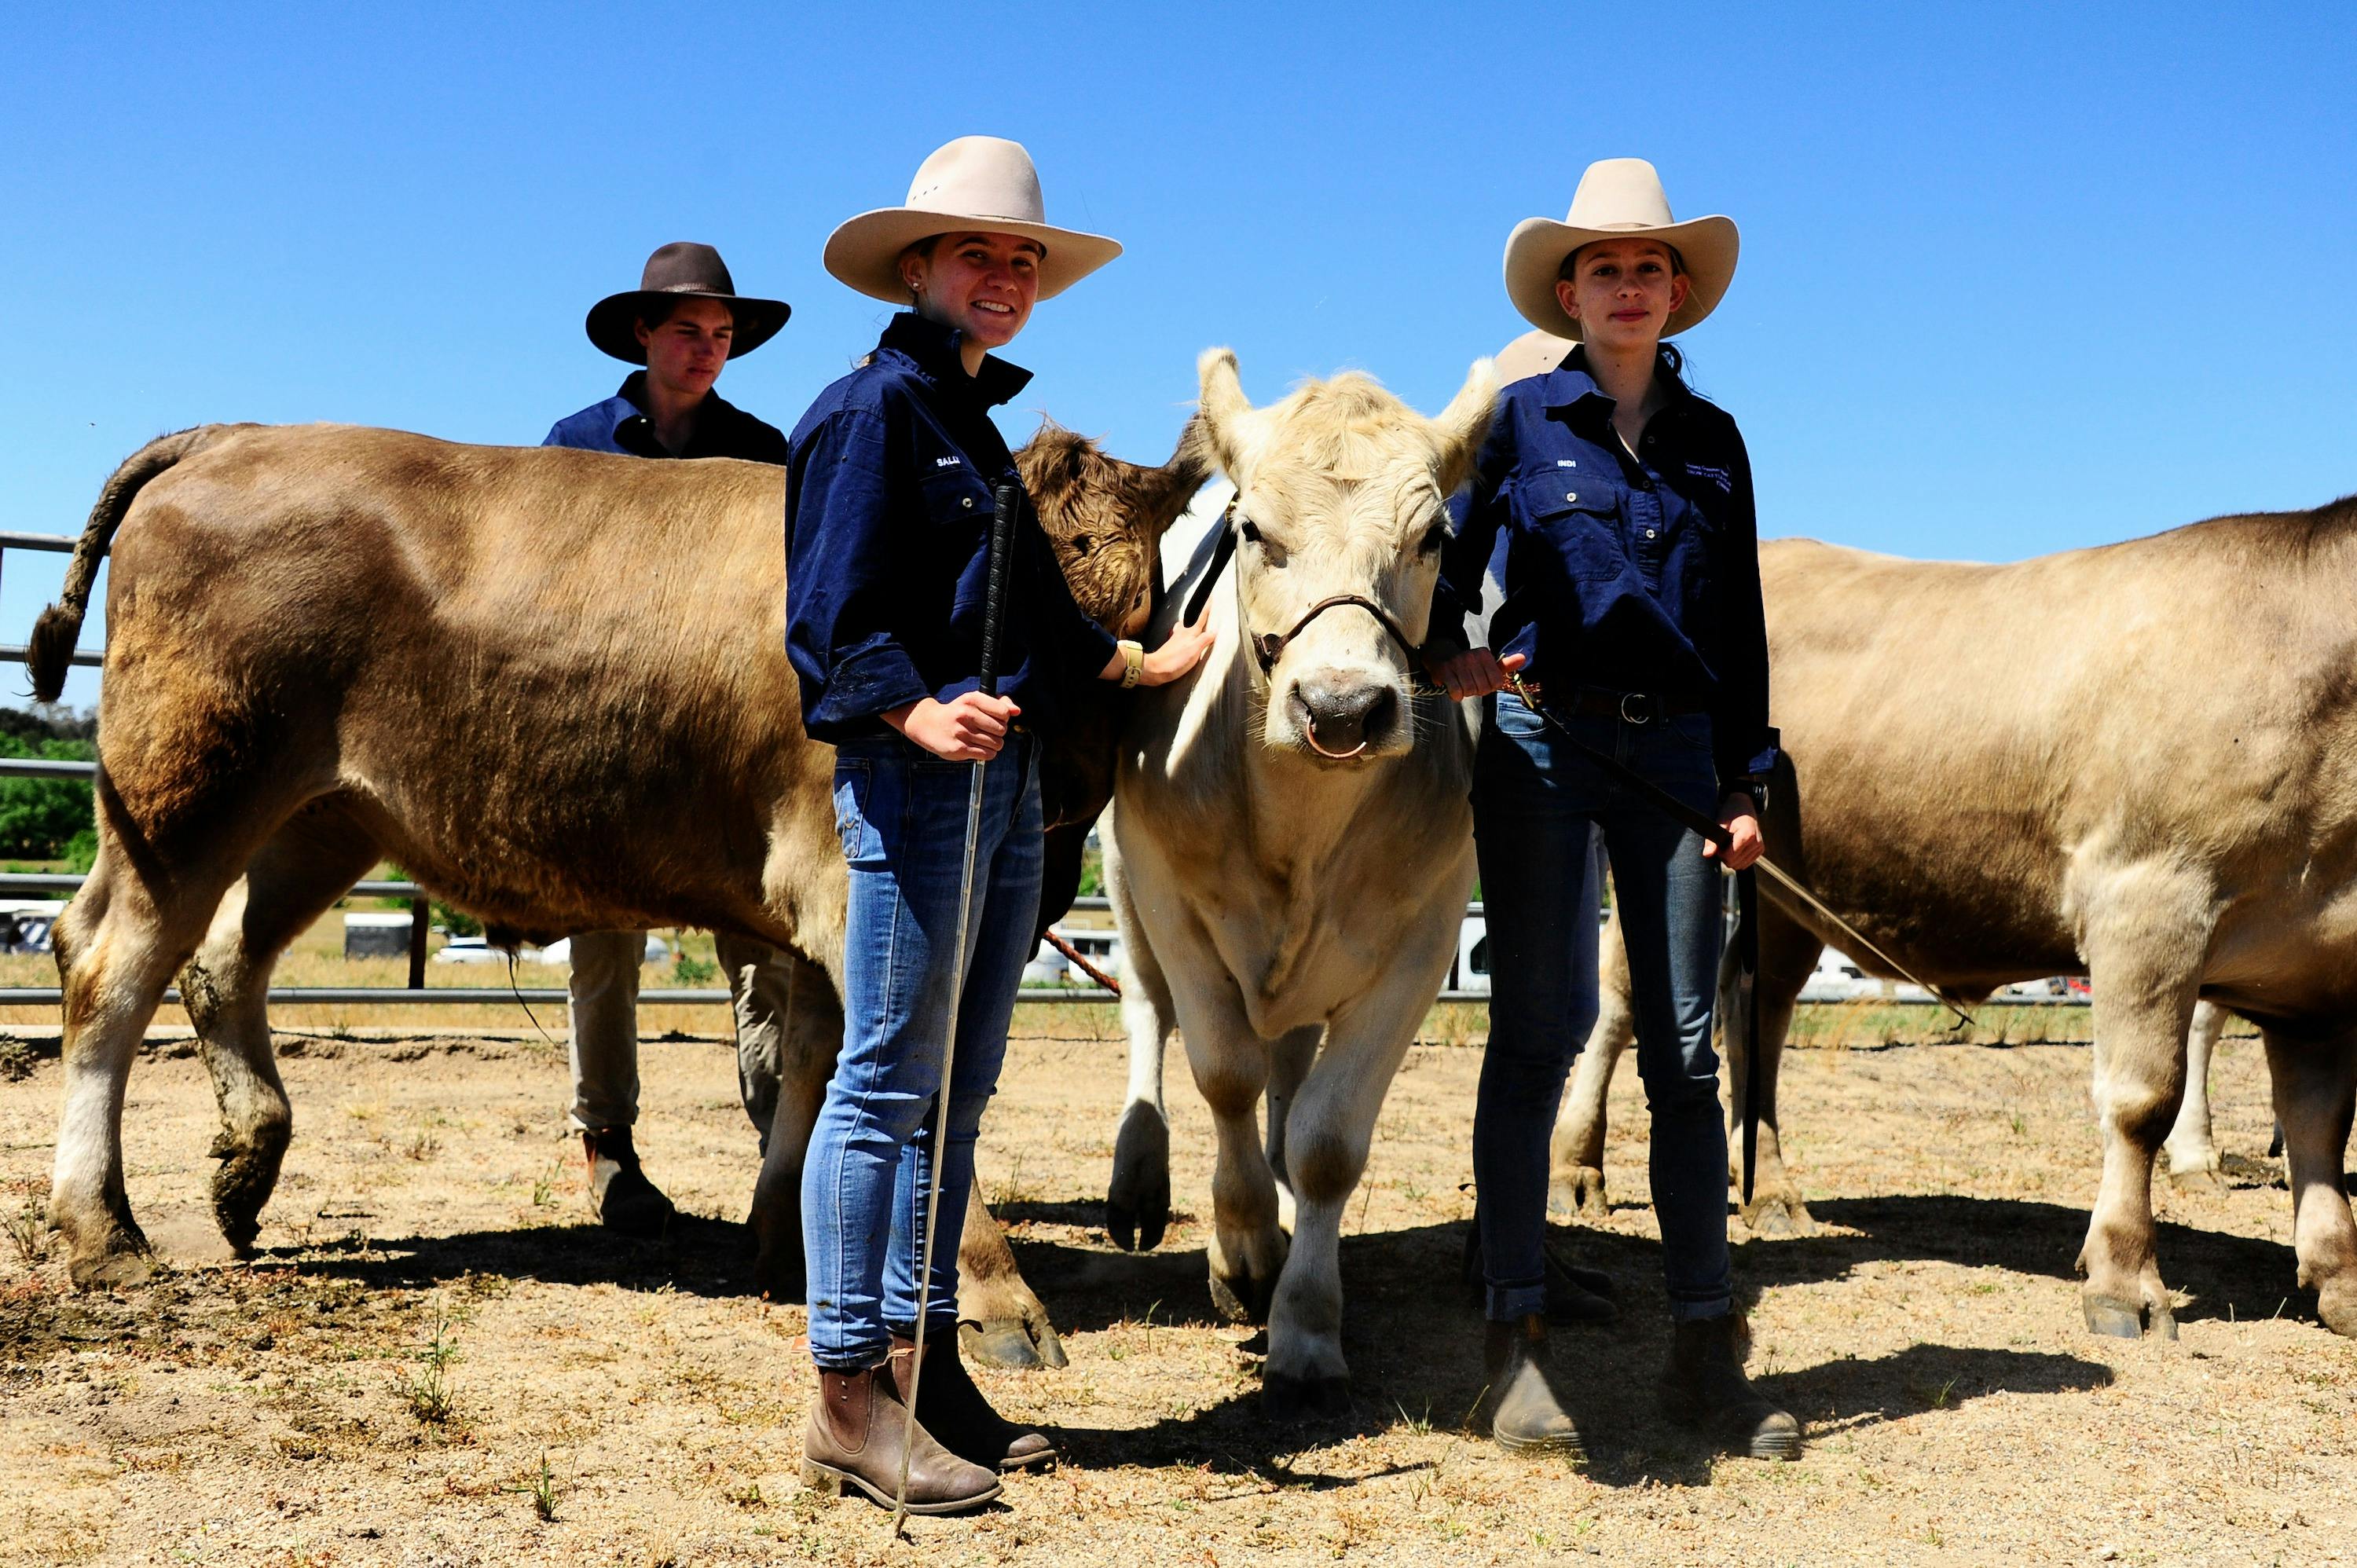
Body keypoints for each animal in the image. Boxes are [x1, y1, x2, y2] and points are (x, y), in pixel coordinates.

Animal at [28, 418, 1204, 1374]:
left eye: (1127, 598)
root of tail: (236, 433)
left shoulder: (815, 906)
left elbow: (813, 1058)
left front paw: (786, 1235)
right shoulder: (851, 880)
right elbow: (910, 1070)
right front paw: (999, 1298)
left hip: (324, 814)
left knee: (222, 958)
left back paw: (245, 1165)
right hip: (189, 791)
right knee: (109, 967)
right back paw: (105, 1230)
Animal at [1101, 348, 1494, 1416]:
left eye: (1434, 536)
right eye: (1252, 530)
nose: (1344, 707)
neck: (1300, 828)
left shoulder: (1419, 945)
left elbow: (1325, 1141)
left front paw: (1307, 1320)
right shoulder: (1175, 904)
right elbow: (1223, 1074)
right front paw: (1240, 1255)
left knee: (1288, 1070)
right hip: (1124, 893)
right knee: (1150, 1017)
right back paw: (1141, 1178)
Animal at [1550, 520, 2357, 1341]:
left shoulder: (2317, 972)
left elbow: (2321, 1124)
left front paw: (2339, 1278)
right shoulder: (2149, 895)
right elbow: (2143, 1101)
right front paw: (2124, 1281)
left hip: (1779, 879)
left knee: (1757, 1007)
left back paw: (1768, 1191)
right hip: (1658, 825)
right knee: (1621, 1002)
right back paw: (1578, 1169)